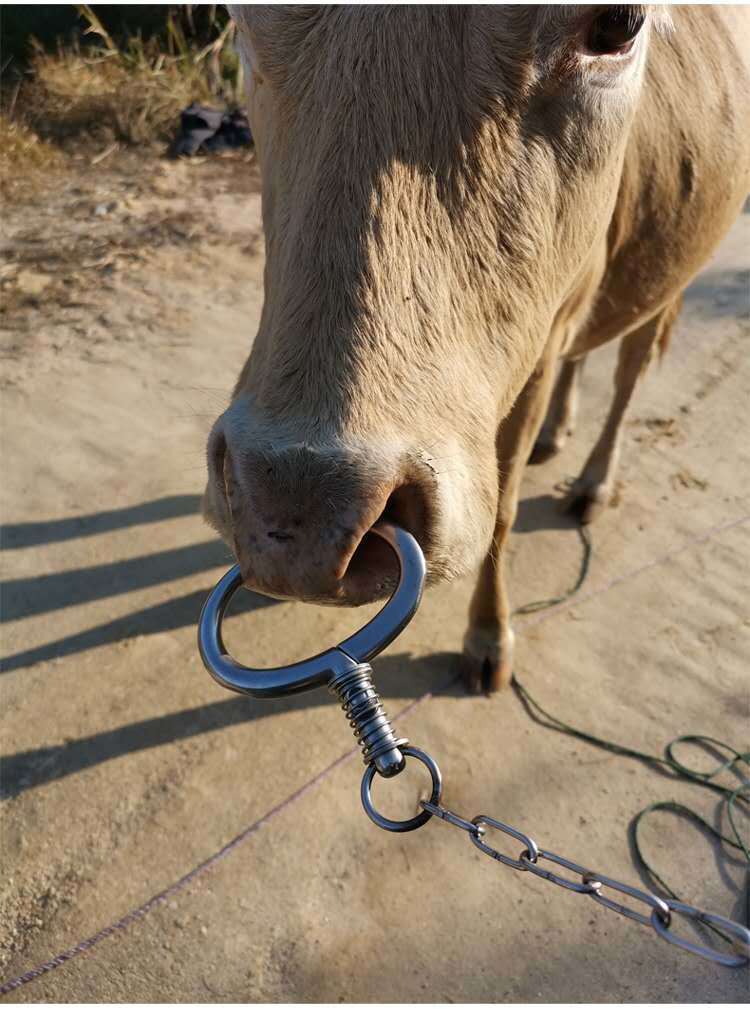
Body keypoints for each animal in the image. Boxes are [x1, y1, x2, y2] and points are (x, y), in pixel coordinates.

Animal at [202, 3, 750, 690]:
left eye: (619, 24)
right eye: (239, 19)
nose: (302, 513)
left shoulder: (545, 345)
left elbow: (504, 514)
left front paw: (489, 637)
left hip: (672, 271)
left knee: (630, 372)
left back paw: (593, 484)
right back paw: (557, 433)